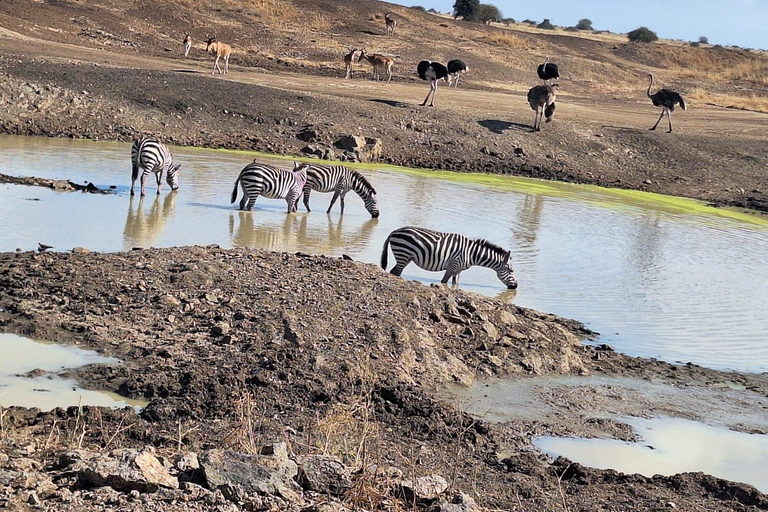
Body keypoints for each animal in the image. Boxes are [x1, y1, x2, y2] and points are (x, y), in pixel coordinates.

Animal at [382, 227, 520, 290]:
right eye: (512, 271)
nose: (516, 286)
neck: (472, 254)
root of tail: (395, 231)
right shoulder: (453, 265)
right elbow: (444, 281)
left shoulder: (458, 270)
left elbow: (455, 283)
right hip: (403, 254)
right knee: (396, 272)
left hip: (406, 257)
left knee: (394, 271)